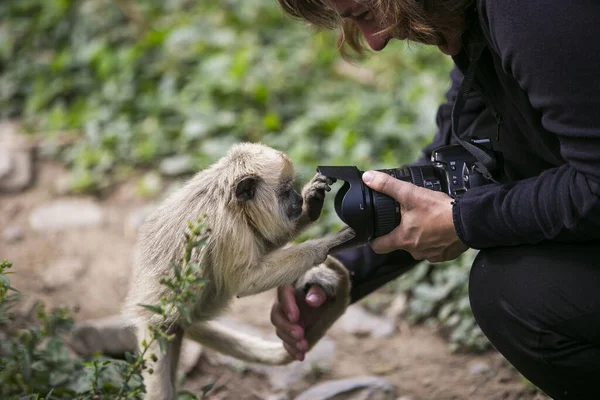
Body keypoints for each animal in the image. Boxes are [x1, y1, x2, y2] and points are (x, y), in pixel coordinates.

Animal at [123, 142, 356, 398]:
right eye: (285, 191)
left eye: (292, 190)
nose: (297, 199)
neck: (231, 203)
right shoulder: (228, 230)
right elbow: (245, 281)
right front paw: (326, 244)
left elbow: (265, 241)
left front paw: (312, 201)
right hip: (155, 332)